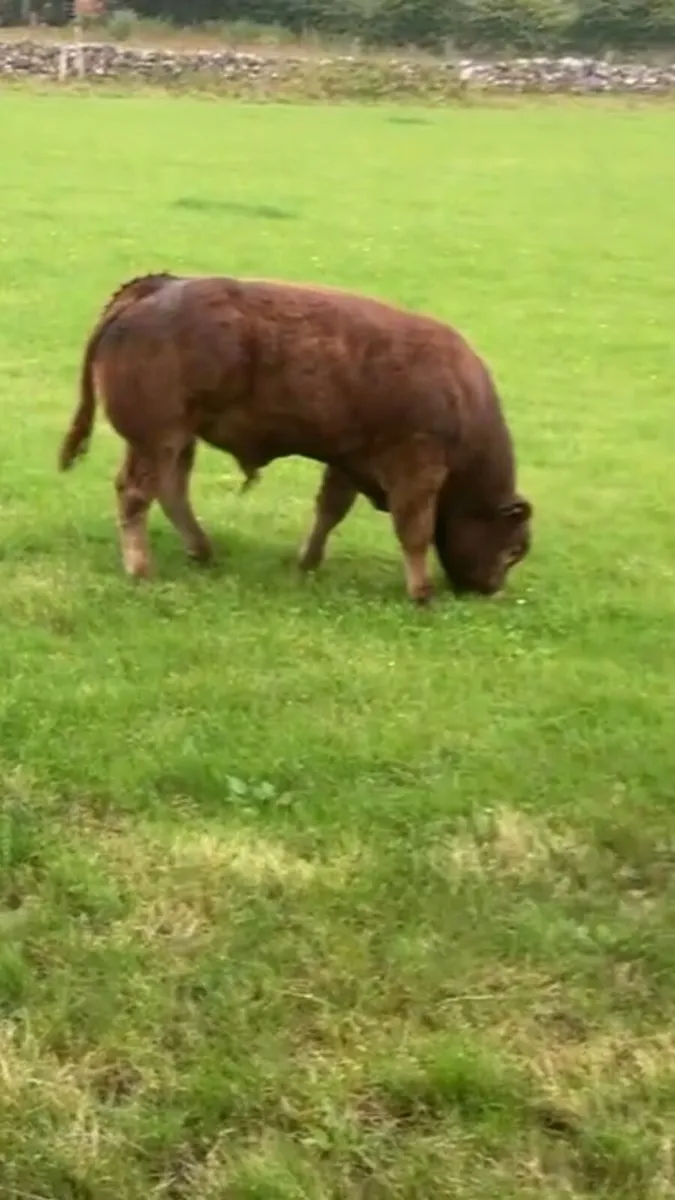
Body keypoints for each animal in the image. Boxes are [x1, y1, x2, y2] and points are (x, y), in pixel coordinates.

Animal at [58, 272, 533, 604]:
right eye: (513, 549)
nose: (491, 590)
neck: (460, 395)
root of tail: (158, 287)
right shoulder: (416, 469)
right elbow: (413, 530)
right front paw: (421, 594)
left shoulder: (348, 461)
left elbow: (330, 510)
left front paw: (307, 563)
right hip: (157, 440)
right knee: (136, 495)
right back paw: (141, 570)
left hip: (176, 441)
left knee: (171, 491)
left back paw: (203, 551)